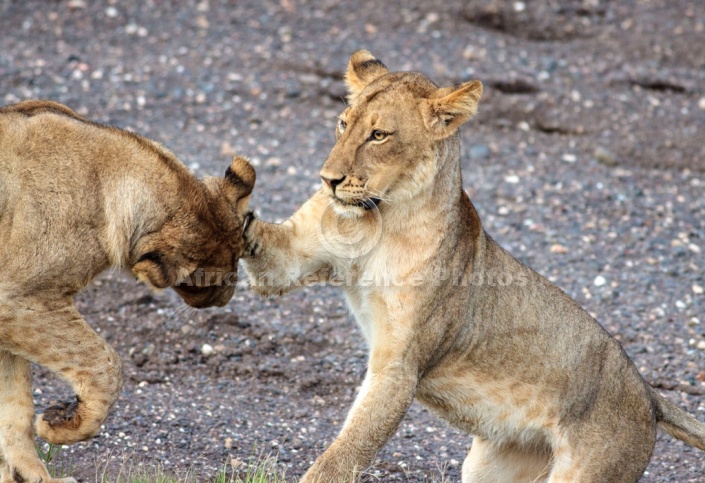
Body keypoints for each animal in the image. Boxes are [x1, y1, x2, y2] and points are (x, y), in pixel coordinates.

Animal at [0, 100, 254, 482]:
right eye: (207, 280)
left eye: (240, 254)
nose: (226, 299)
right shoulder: (20, 299)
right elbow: (105, 364)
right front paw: (64, 424)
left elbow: (14, 409)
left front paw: (31, 475)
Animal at [242, 51, 704, 482]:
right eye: (342, 124)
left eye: (378, 135)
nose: (328, 180)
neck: (379, 219)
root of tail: (647, 393)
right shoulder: (293, 257)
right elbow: (265, 252)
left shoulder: (399, 366)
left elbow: (348, 449)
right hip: (490, 466)